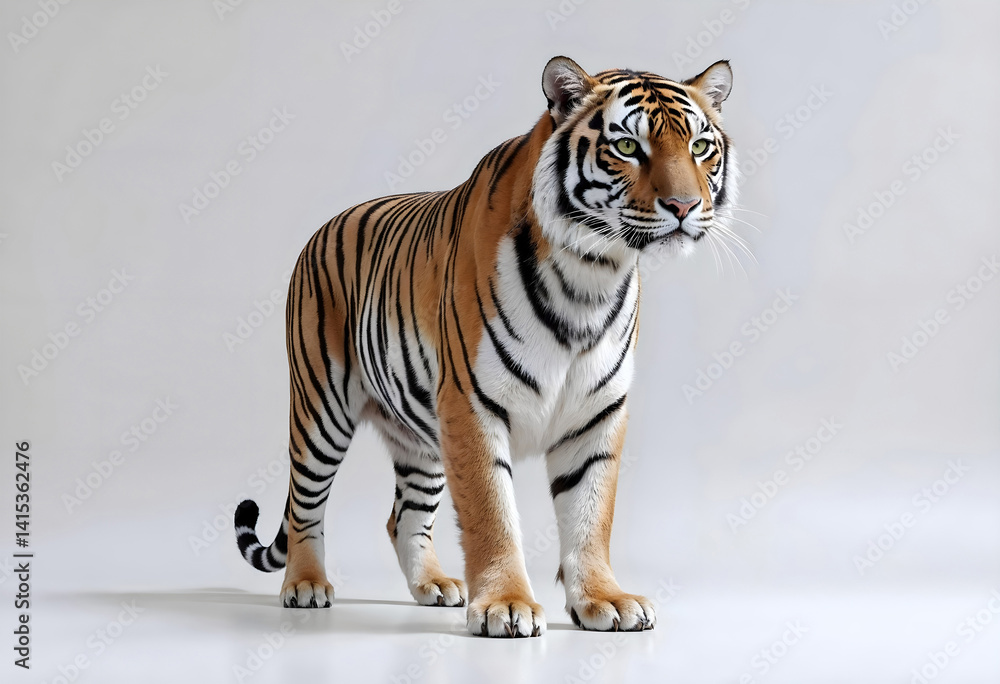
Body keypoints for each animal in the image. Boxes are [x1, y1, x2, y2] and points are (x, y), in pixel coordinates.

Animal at [234, 55, 737, 638]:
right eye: (628, 147)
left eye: (700, 147)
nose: (684, 205)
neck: (592, 274)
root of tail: (323, 226)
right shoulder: (472, 404)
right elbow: (491, 513)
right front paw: (506, 605)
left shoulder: (597, 412)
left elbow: (592, 514)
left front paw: (604, 600)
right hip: (322, 408)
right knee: (305, 507)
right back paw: (307, 585)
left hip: (422, 436)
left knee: (403, 516)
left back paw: (433, 587)